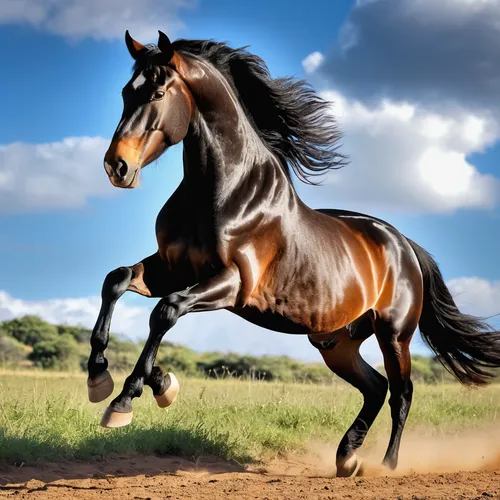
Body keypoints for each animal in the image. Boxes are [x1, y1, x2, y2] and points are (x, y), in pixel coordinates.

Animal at [88, 31, 500, 476]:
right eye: (126, 92)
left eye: (159, 92)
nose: (117, 167)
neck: (222, 192)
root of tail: (404, 244)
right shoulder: (172, 267)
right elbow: (116, 281)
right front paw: (106, 379)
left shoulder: (232, 283)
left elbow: (165, 311)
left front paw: (128, 398)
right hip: (335, 343)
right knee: (376, 387)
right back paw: (347, 457)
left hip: (394, 334)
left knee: (401, 393)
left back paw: (386, 466)